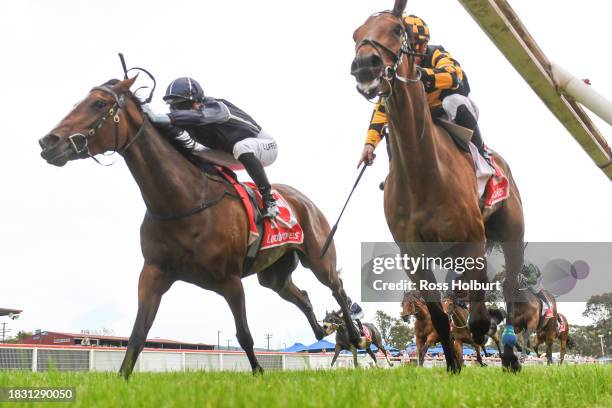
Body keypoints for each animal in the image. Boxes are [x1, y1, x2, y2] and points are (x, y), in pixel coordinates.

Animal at [38, 77, 358, 380]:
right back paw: (323, 329)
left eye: (99, 104)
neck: (183, 202)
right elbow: (139, 333)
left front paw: (259, 374)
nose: (48, 142)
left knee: (338, 288)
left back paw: (354, 333)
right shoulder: (153, 273)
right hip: (273, 275)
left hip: (318, 258)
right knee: (301, 295)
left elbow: (244, 335)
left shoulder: (231, 280)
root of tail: (303, 199)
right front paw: (122, 378)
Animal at [352, 0, 524, 372]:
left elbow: (478, 318)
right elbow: (441, 319)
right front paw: (453, 366)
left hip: (513, 236)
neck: (422, 173)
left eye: (397, 28)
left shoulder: (473, 242)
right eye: (356, 34)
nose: (364, 64)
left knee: (511, 293)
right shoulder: (414, 256)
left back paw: (509, 353)